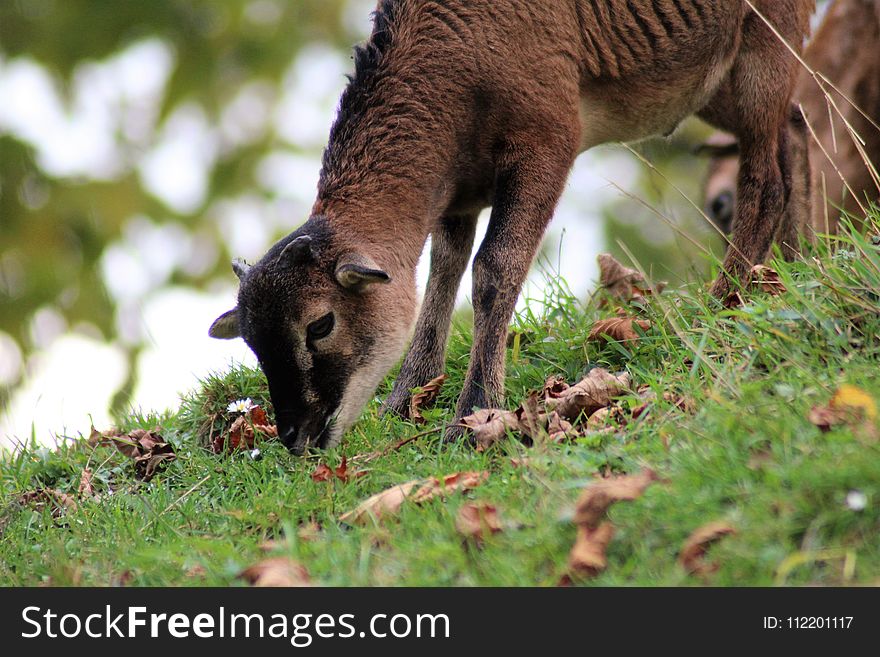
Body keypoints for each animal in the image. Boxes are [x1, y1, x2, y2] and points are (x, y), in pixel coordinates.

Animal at [210, 0, 816, 454]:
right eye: (252, 341)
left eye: (320, 325)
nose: (296, 436)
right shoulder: (456, 195)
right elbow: (443, 274)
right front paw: (407, 398)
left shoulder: (547, 140)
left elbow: (494, 269)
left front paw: (474, 415)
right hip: (716, 85)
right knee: (795, 128)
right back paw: (795, 268)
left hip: (765, 39)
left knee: (766, 178)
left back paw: (725, 302)